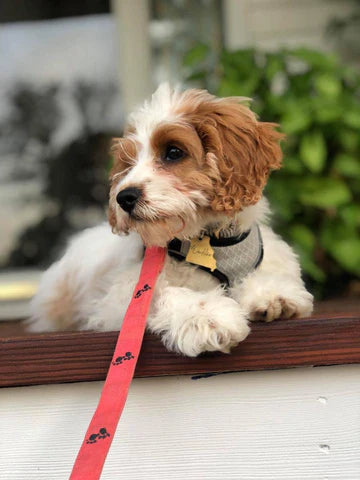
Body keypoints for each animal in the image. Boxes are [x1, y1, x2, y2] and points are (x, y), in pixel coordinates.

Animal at [28, 84, 312, 356]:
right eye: (128, 164)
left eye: (173, 152)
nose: (124, 197)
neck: (207, 238)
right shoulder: (119, 298)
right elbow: (161, 294)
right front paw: (207, 316)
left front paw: (271, 293)